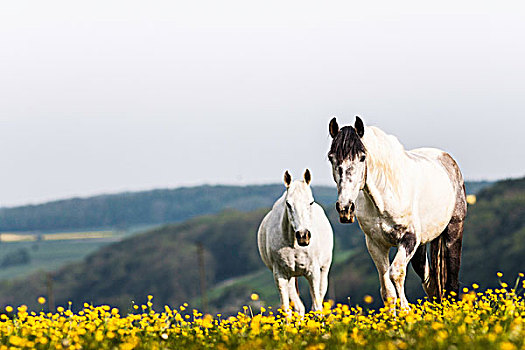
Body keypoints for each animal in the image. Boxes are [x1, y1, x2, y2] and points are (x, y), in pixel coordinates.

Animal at [256, 170, 334, 314]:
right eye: (288, 203)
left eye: (311, 202)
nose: (303, 236)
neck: (294, 245)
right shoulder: (280, 275)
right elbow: (287, 310)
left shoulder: (313, 273)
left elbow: (317, 307)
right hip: (292, 277)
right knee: (299, 307)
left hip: (323, 271)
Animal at [328, 117, 466, 308]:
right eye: (331, 158)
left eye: (362, 157)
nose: (345, 208)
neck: (385, 197)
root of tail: (447, 160)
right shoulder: (376, 244)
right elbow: (387, 291)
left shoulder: (409, 239)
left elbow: (396, 273)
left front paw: (406, 310)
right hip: (420, 248)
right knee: (430, 282)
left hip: (453, 232)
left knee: (451, 283)